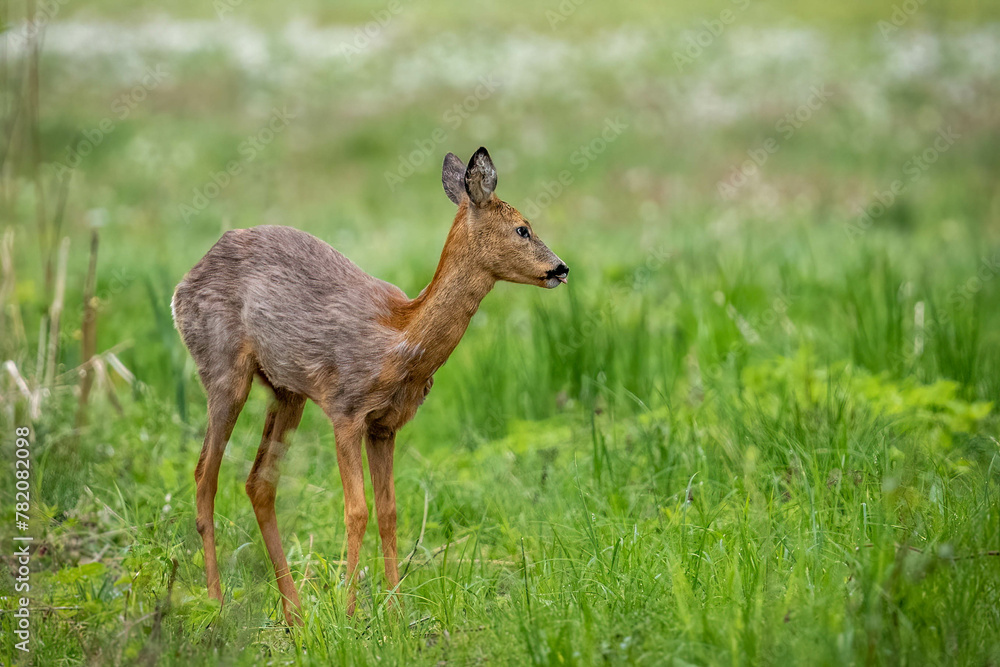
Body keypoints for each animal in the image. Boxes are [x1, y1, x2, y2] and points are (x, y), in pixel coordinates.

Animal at [171, 147, 569, 624]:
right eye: (523, 228)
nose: (561, 267)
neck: (399, 340)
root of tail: (183, 283)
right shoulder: (345, 409)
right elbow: (356, 511)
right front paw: (350, 612)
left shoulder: (385, 425)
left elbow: (389, 511)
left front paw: (395, 611)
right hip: (224, 369)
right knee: (204, 475)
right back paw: (216, 603)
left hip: (287, 392)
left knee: (258, 483)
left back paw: (294, 613)